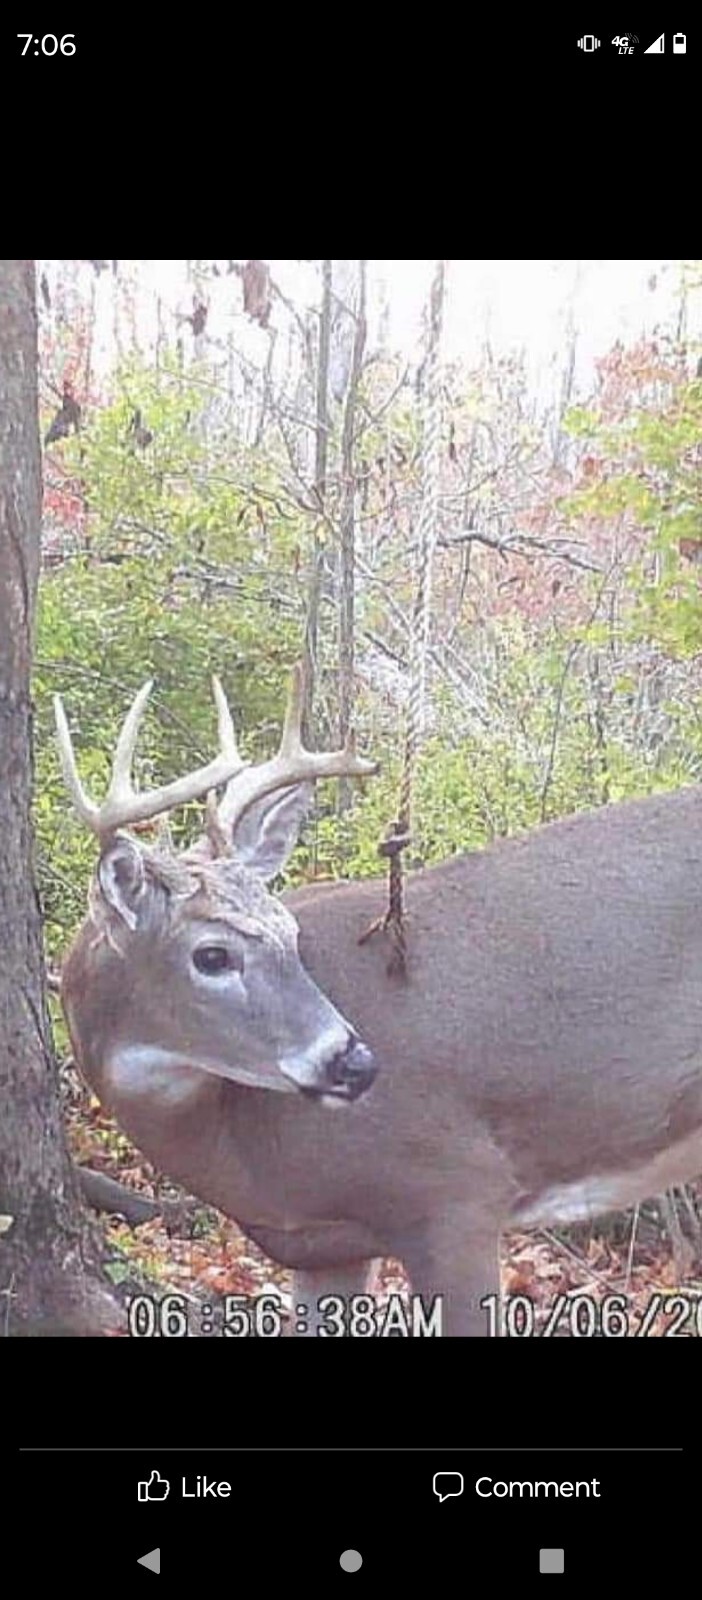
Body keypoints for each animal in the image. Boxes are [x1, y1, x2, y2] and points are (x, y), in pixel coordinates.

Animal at [56, 665, 702, 1336]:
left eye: (289, 931)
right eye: (212, 955)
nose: (356, 1062)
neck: (242, 1149)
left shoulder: (456, 1189)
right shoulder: (327, 1246)